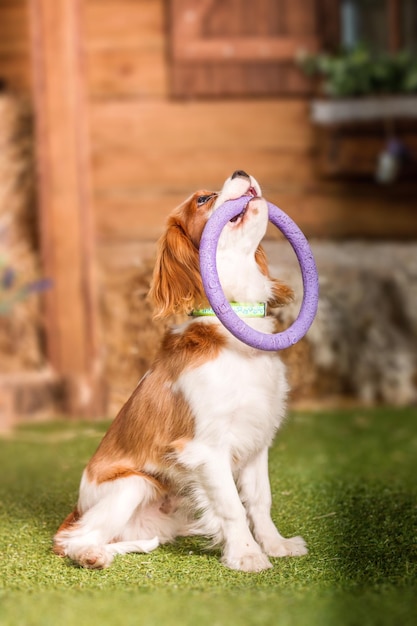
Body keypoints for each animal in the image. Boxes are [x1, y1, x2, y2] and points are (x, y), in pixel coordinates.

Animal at [53, 171, 306, 572]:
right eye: (202, 200)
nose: (240, 172)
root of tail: (76, 510)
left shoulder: (257, 440)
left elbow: (259, 500)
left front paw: (275, 545)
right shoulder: (207, 448)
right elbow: (233, 506)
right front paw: (247, 555)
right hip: (134, 485)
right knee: (73, 540)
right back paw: (92, 554)